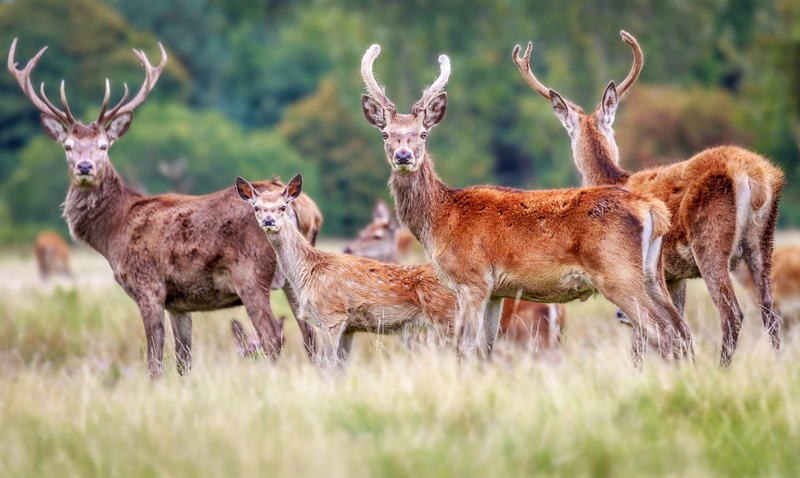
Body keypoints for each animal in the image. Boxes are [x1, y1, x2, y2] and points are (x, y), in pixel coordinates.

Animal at [8, 38, 321, 378]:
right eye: (67, 146)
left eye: (104, 145)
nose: (85, 166)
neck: (114, 232)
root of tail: (303, 208)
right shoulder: (179, 303)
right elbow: (184, 361)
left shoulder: (148, 287)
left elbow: (154, 361)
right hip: (294, 280)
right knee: (311, 337)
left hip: (250, 274)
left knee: (274, 337)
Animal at [236, 174, 458, 370]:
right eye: (256, 207)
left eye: (283, 207)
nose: (268, 221)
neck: (307, 272)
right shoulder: (348, 327)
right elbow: (341, 368)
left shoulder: (331, 316)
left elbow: (328, 365)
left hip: (445, 318)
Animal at [344, 199, 566, 351]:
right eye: (363, 231)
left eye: (377, 236)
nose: (347, 249)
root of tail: (556, 309)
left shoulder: (428, 341)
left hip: (529, 337)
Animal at [512, 30, 785, 367]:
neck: (615, 178)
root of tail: (755, 176)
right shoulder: (674, 276)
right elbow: (680, 330)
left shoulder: (653, 272)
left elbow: (642, 341)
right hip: (764, 239)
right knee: (770, 311)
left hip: (709, 237)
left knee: (731, 313)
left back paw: (722, 370)